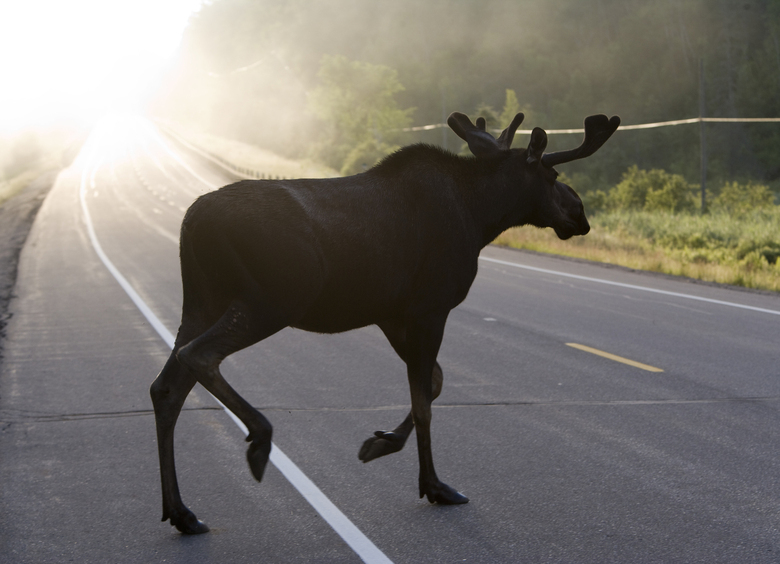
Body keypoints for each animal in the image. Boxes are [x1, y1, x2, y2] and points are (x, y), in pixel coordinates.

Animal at [150, 109, 620, 534]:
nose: (580, 213)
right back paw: (259, 439)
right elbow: (424, 400)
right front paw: (434, 485)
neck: (481, 216)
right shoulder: (430, 307)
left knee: (166, 387)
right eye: (551, 176)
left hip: (202, 303)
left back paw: (181, 512)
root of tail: (191, 223)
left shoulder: (393, 314)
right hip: (271, 300)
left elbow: (434, 382)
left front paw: (381, 442)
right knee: (198, 355)